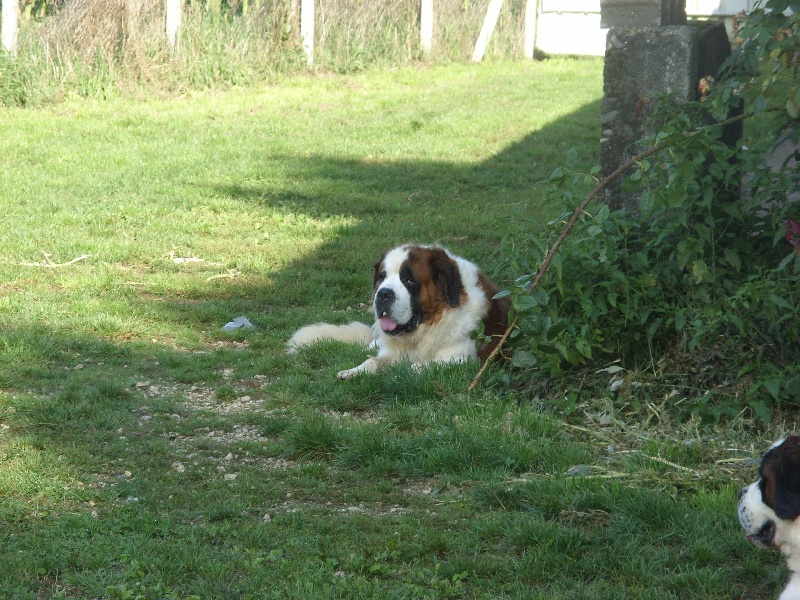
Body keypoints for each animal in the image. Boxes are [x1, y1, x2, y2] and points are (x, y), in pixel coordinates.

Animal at [290, 244, 512, 380]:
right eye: (382, 276)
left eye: (409, 280)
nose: (383, 294)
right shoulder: (391, 352)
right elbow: (372, 360)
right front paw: (354, 371)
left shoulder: (460, 359)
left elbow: (418, 367)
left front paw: (396, 375)